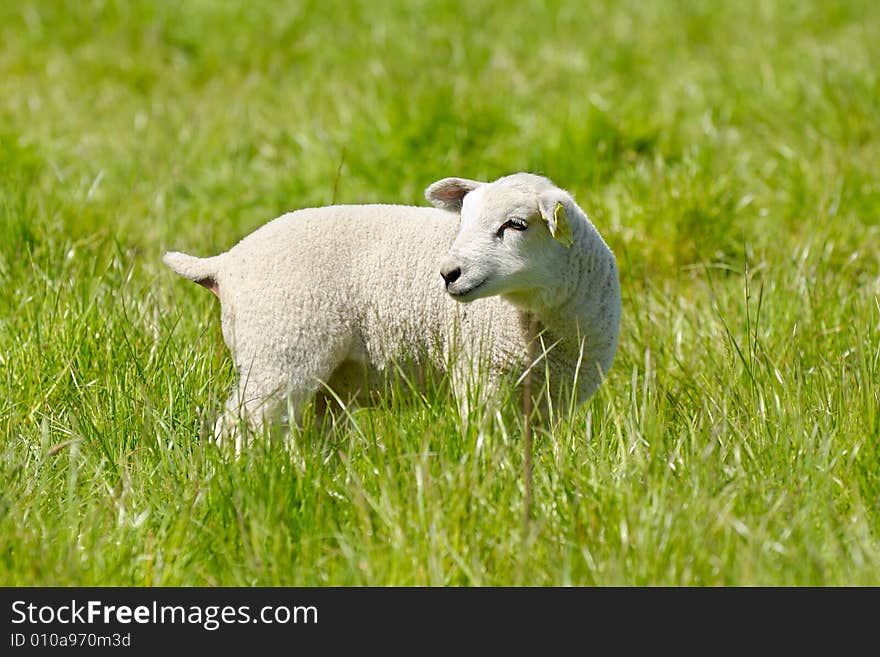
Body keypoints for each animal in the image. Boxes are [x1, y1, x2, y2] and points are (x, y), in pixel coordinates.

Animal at [163, 173, 620, 440]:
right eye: (463, 222)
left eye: (516, 224)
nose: (448, 273)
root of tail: (225, 262)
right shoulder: (481, 371)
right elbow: (485, 436)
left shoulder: (553, 397)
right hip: (281, 350)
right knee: (238, 427)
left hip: (315, 376)